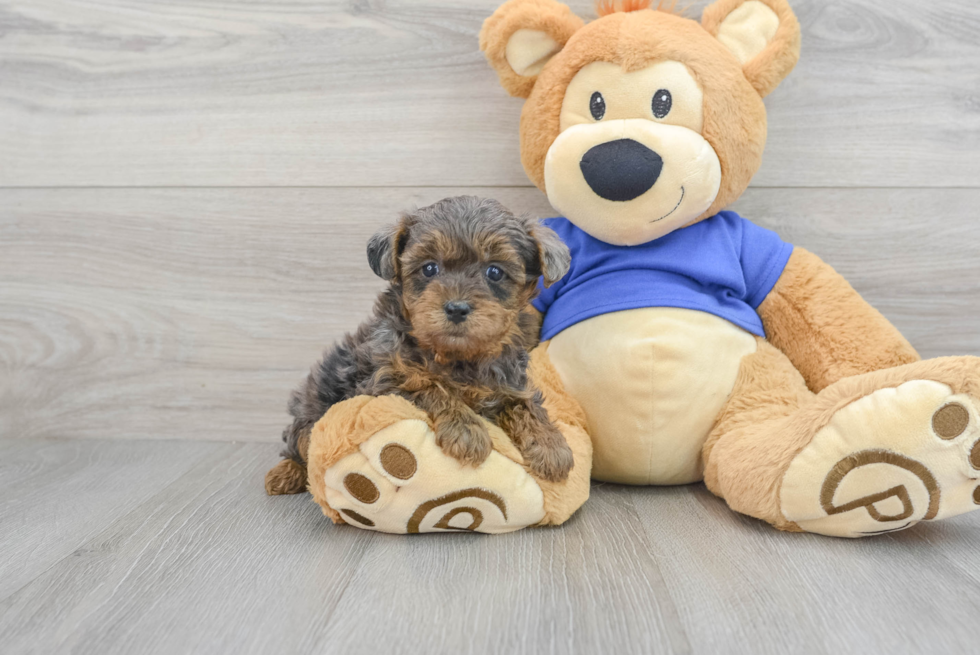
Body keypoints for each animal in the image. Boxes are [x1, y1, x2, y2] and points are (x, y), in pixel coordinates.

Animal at [266, 197, 576, 494]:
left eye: (495, 272)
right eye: (429, 268)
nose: (456, 308)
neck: (457, 355)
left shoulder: (510, 382)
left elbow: (525, 404)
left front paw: (550, 445)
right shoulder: (384, 380)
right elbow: (428, 387)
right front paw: (466, 430)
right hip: (311, 407)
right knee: (299, 444)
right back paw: (285, 474)